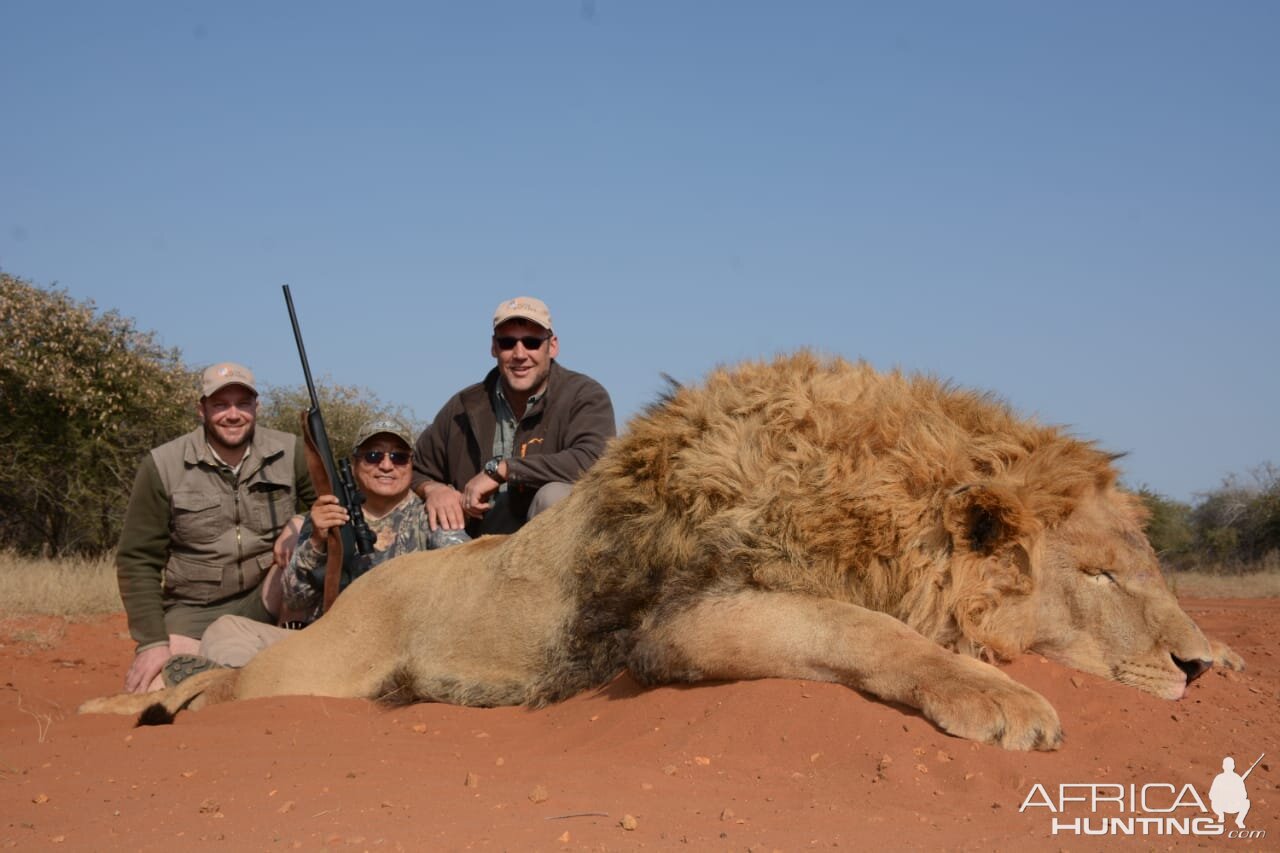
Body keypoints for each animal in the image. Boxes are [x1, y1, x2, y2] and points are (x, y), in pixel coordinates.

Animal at [77, 348, 1239, 747]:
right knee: (223, 688)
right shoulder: (680, 625)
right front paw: (999, 696)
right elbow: (859, 628)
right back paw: (133, 706)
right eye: (1097, 571)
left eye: (1148, 562)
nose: (1187, 663)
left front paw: (1225, 654)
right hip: (315, 669)